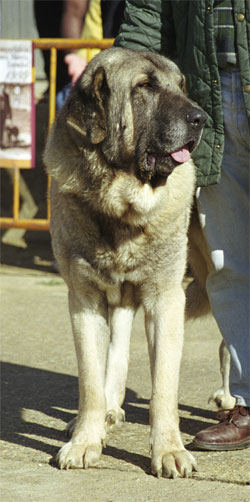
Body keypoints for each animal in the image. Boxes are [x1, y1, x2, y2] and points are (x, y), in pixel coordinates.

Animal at [44, 47, 207, 478]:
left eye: (180, 85)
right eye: (144, 87)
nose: (201, 117)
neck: (121, 206)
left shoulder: (167, 299)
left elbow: (164, 387)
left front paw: (169, 451)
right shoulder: (84, 299)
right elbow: (89, 378)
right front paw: (85, 440)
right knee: (114, 351)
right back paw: (106, 411)